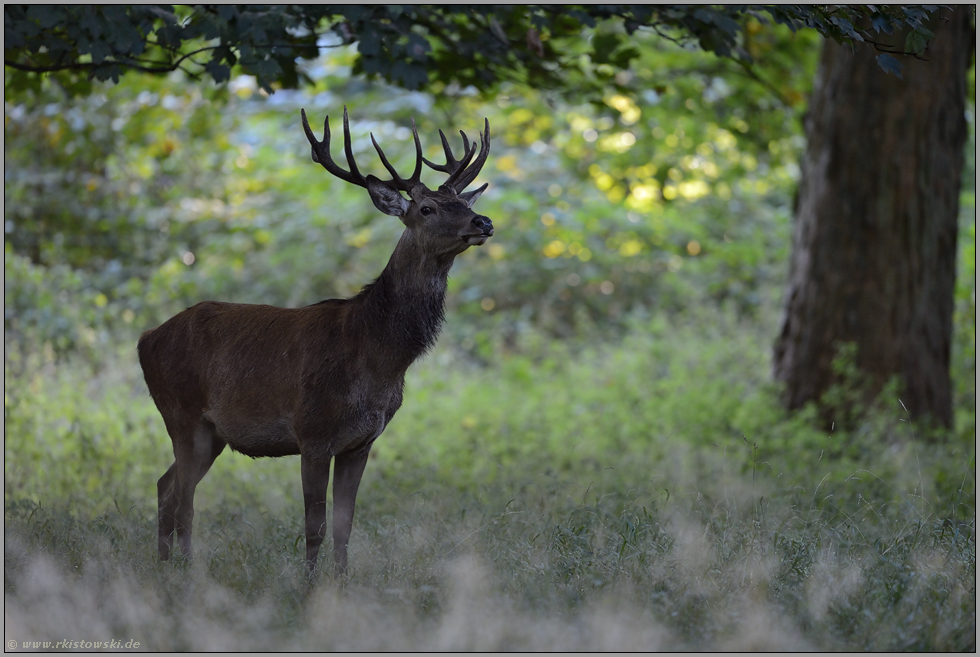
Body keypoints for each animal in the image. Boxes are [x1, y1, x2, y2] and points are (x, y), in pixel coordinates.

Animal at [135, 106, 494, 576]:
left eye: (464, 203)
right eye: (427, 208)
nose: (483, 221)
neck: (377, 356)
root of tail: (144, 339)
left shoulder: (362, 442)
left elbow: (345, 524)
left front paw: (340, 584)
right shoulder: (313, 432)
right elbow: (315, 526)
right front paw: (308, 588)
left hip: (212, 433)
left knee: (165, 486)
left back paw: (163, 569)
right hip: (181, 414)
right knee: (183, 501)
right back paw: (187, 572)